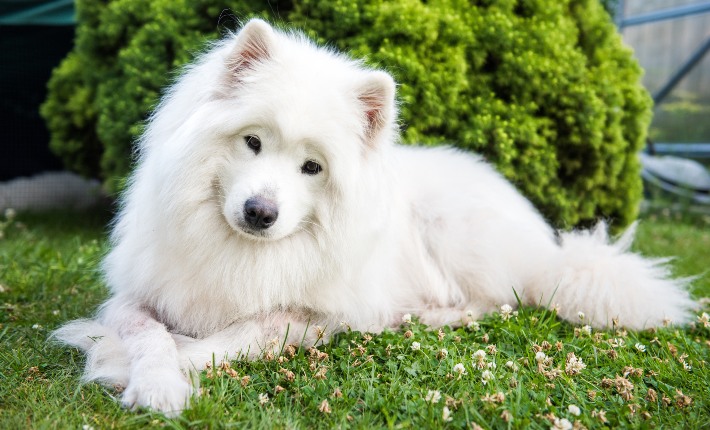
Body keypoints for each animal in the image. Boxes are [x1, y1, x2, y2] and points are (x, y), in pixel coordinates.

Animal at [54, 19, 696, 414]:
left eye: (312, 167)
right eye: (253, 142)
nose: (261, 212)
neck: (244, 252)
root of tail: (551, 245)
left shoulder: (315, 315)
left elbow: (239, 335)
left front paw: (120, 363)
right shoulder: (137, 295)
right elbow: (149, 335)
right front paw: (153, 378)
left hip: (454, 234)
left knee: (499, 300)